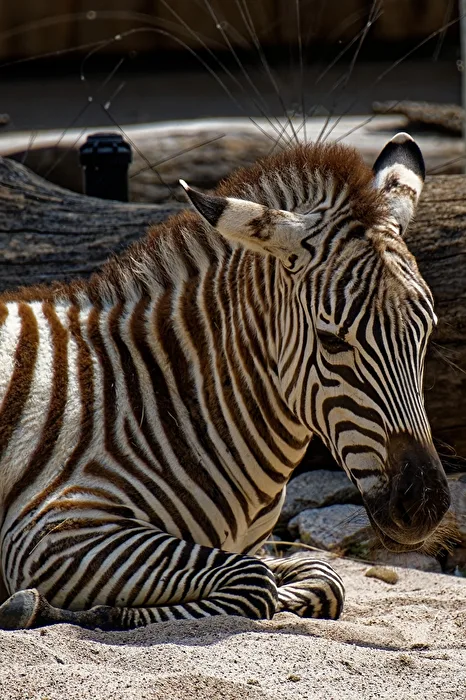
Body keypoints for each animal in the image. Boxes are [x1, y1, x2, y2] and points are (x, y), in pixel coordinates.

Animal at [0, 132, 451, 631]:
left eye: (426, 332)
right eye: (332, 340)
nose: (426, 504)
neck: (162, 396)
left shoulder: (254, 547)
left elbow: (323, 577)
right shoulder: (51, 530)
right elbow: (256, 584)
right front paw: (83, 611)